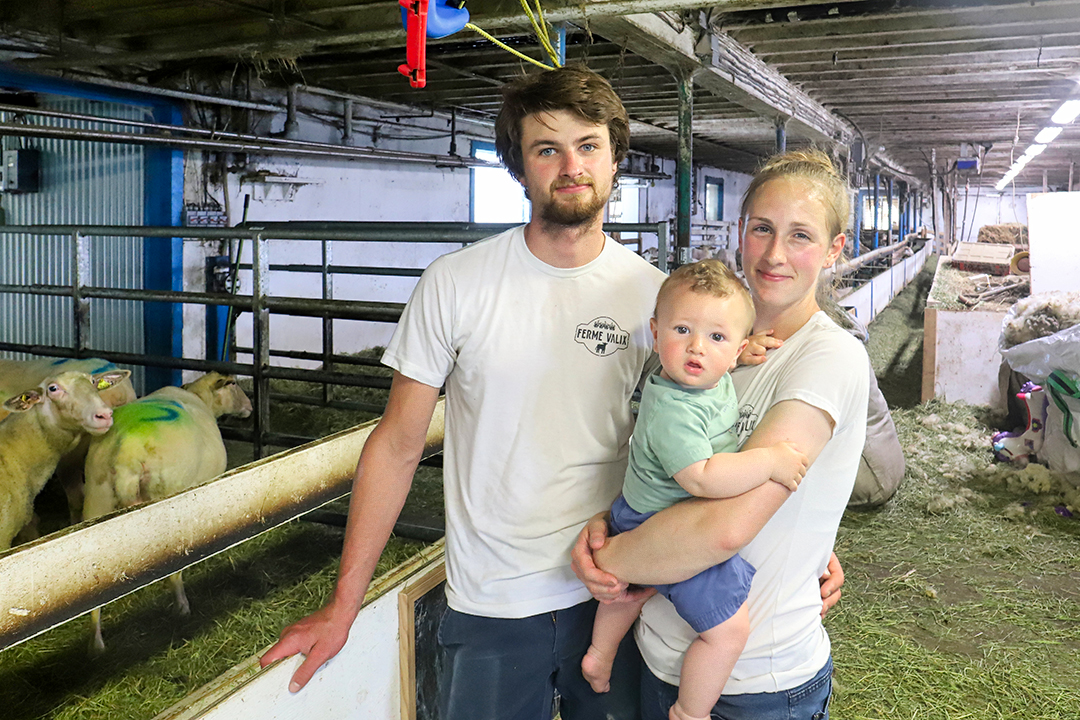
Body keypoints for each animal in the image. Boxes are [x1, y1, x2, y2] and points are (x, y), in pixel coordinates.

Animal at [81, 371, 250, 651]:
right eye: (234, 383)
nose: (248, 407)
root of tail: (126, 455)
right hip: (167, 503)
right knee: (174, 570)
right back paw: (182, 606)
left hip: (96, 500)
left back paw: (96, 643)